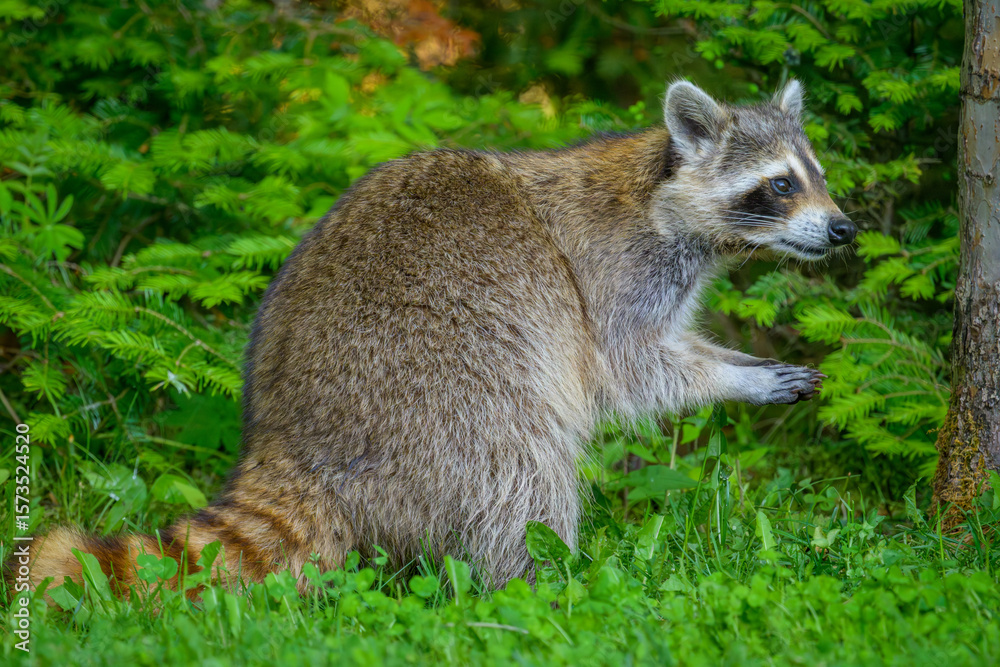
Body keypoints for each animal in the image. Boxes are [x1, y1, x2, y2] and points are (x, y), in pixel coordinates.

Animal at [9, 79, 854, 597]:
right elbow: (632, 369)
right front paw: (741, 375)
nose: (846, 229)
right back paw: (541, 583)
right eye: (780, 184)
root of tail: (290, 443)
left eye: (818, 174)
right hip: (443, 393)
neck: (659, 191)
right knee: (523, 469)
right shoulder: (612, 275)